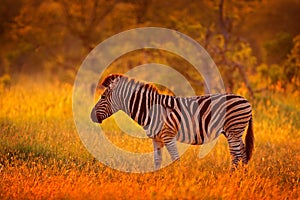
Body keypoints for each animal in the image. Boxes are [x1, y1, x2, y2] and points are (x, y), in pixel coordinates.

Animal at [90, 73, 254, 170]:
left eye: (103, 97)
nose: (91, 116)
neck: (150, 109)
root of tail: (245, 100)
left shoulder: (168, 135)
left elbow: (176, 160)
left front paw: (178, 180)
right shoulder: (156, 139)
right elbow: (157, 160)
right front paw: (156, 179)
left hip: (233, 130)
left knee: (236, 155)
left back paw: (231, 176)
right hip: (234, 132)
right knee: (243, 153)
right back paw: (242, 177)